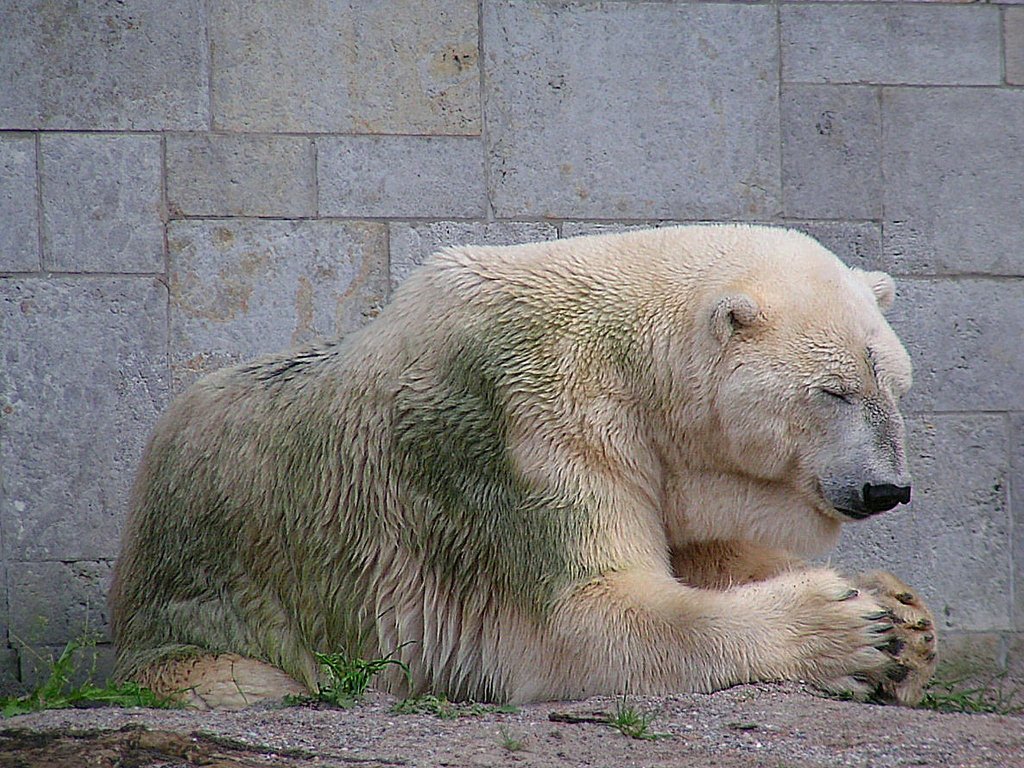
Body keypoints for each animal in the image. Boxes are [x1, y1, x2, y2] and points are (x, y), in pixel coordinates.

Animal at [110, 225, 937, 712]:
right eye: (832, 390)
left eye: (896, 385)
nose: (887, 488)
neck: (627, 354)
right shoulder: (533, 428)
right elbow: (589, 618)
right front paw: (850, 626)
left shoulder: (664, 463)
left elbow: (711, 552)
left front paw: (906, 617)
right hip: (199, 599)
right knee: (239, 673)